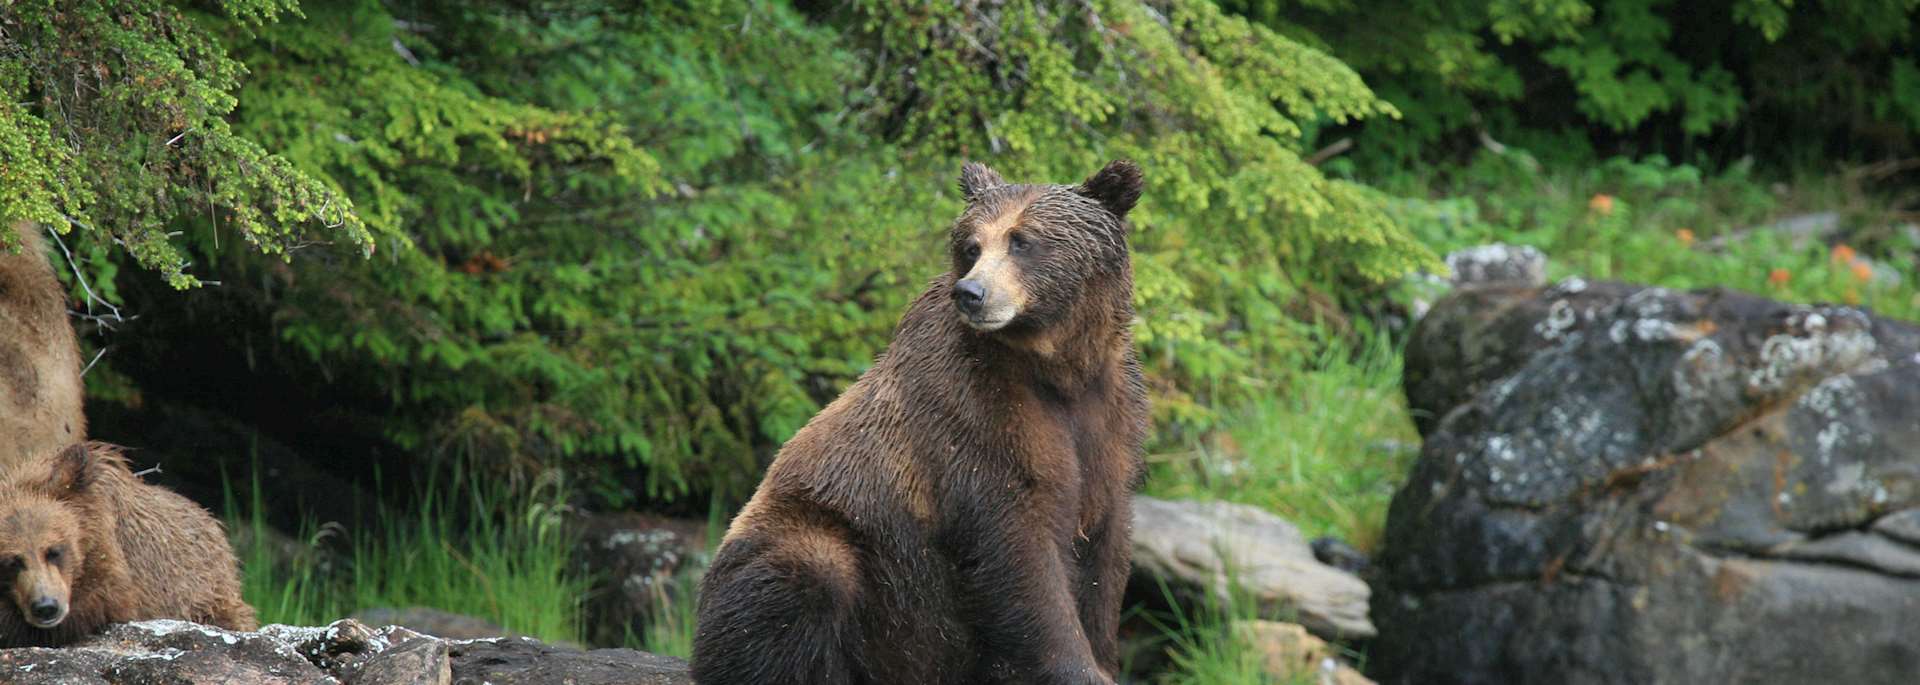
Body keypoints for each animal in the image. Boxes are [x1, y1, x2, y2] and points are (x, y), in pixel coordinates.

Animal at [691, 160, 1149, 685]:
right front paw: (1076, 667)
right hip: (828, 547)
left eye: (1022, 240)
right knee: (801, 580)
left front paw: (1103, 657)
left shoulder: (1110, 416)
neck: (1055, 367)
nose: (971, 292)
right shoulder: (976, 417)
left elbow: (1104, 553)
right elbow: (1019, 551)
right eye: (972, 245)